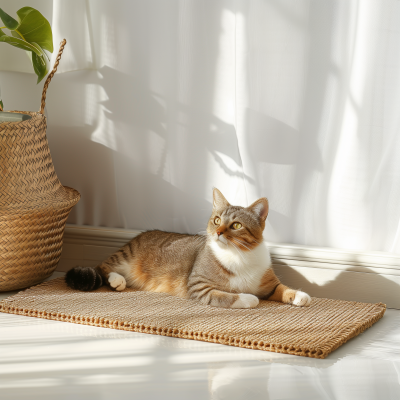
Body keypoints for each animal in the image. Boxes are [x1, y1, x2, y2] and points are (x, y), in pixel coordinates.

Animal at [65, 189, 310, 308]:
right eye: (216, 220)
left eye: (236, 225)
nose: (218, 232)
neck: (239, 255)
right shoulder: (199, 286)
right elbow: (228, 296)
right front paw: (249, 298)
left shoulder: (268, 284)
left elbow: (283, 289)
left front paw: (299, 295)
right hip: (124, 257)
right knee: (102, 266)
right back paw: (117, 279)